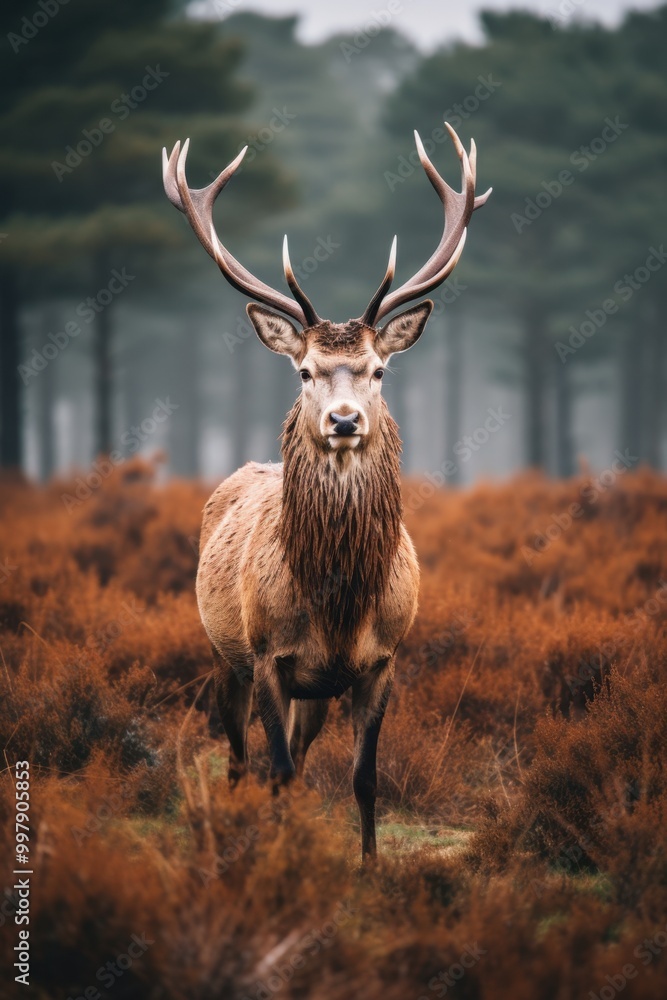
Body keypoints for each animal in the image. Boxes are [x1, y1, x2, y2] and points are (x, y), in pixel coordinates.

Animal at [163, 123, 490, 859]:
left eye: (378, 370)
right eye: (306, 371)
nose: (344, 421)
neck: (337, 605)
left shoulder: (382, 661)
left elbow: (363, 777)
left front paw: (367, 866)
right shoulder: (267, 657)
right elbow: (276, 770)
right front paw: (281, 859)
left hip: (313, 691)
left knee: (299, 755)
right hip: (223, 656)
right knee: (240, 759)